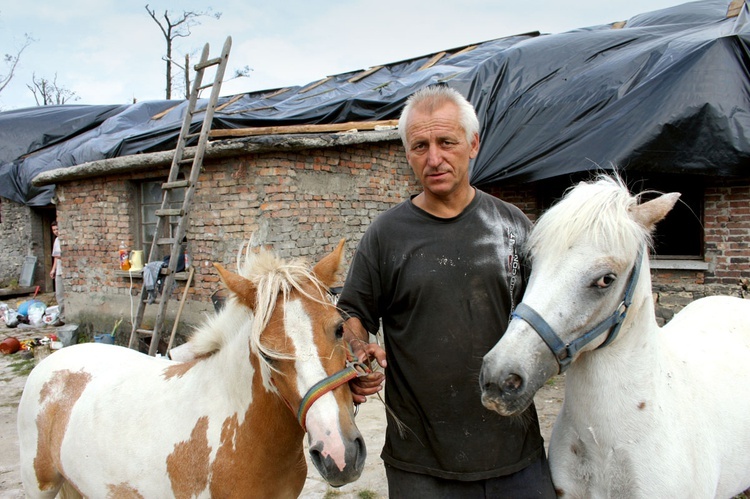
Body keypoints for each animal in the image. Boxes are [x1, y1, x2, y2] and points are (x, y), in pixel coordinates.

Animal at [16, 240, 368, 498]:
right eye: (266, 354)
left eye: (339, 329)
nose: (339, 454)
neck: (238, 434)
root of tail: (50, 362)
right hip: (40, 487)